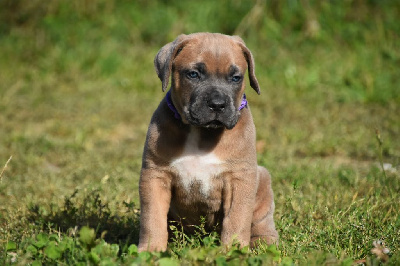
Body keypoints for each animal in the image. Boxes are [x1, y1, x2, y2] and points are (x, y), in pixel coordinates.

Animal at [138, 33, 278, 251]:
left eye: (236, 78)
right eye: (193, 74)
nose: (218, 104)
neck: (202, 133)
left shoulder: (240, 179)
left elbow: (237, 220)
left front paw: (233, 251)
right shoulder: (155, 176)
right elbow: (152, 218)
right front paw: (150, 250)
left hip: (262, 179)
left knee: (261, 220)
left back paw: (265, 243)